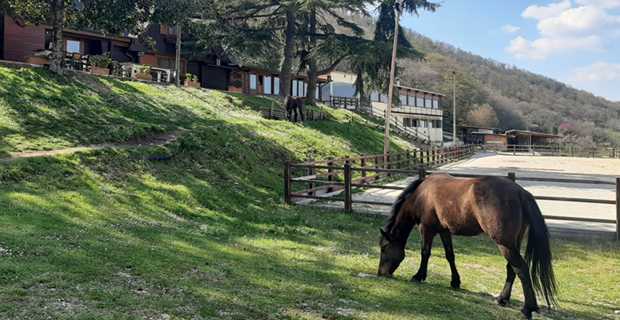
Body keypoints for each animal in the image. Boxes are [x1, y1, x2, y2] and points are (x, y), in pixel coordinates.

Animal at [378, 174, 556, 318]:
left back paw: (527, 309)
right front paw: (455, 282)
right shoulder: (444, 232)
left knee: (521, 269)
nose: (381, 273)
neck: (422, 194)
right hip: (514, 243)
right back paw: (502, 298)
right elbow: (450, 256)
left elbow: (425, 253)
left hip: (504, 244)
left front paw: (418, 276)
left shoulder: (426, 230)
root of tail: (520, 192)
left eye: (383, 249)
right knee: (511, 268)